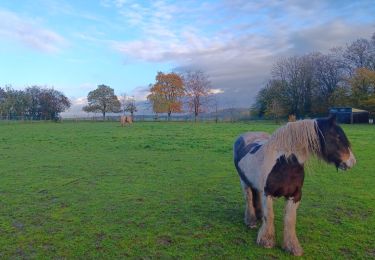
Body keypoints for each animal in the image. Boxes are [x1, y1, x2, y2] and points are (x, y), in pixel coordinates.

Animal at [234, 116, 356, 256]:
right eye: (337, 137)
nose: (352, 162)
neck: (285, 163)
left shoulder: (295, 196)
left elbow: (290, 220)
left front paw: (292, 247)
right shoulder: (268, 194)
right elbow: (269, 216)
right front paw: (266, 241)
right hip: (244, 181)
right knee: (249, 199)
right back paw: (251, 221)